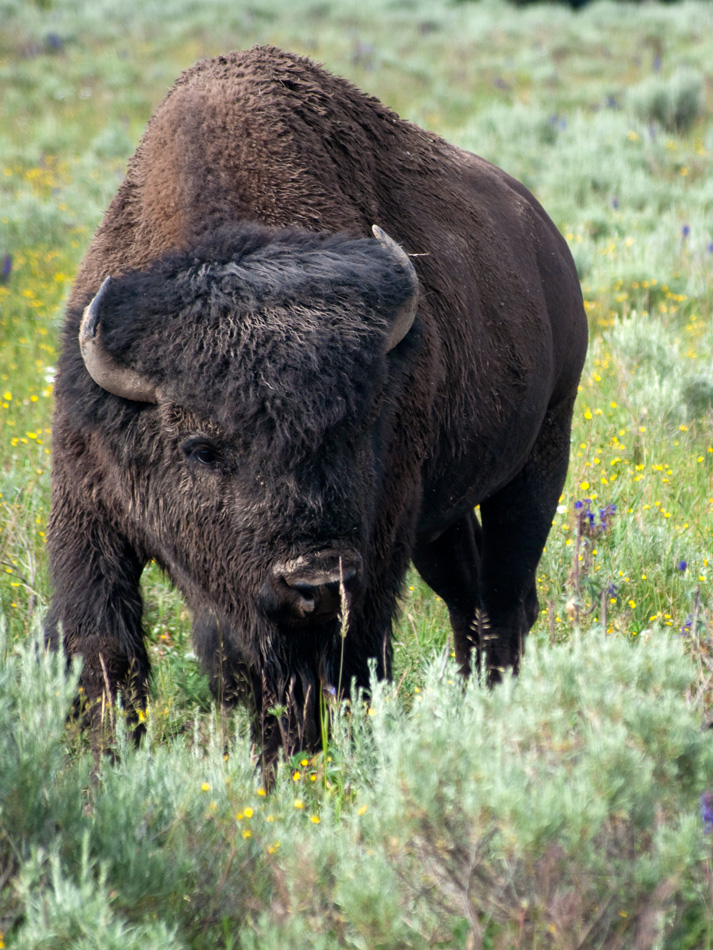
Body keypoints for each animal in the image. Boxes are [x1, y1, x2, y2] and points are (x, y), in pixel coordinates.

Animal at [47, 44, 588, 768]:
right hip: (441, 520)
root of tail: (544, 237)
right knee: (469, 595)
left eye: (356, 428)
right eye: (200, 448)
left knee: (504, 597)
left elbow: (335, 667)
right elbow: (104, 651)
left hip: (539, 458)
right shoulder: (87, 508)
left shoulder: (374, 547)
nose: (315, 578)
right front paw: (103, 766)